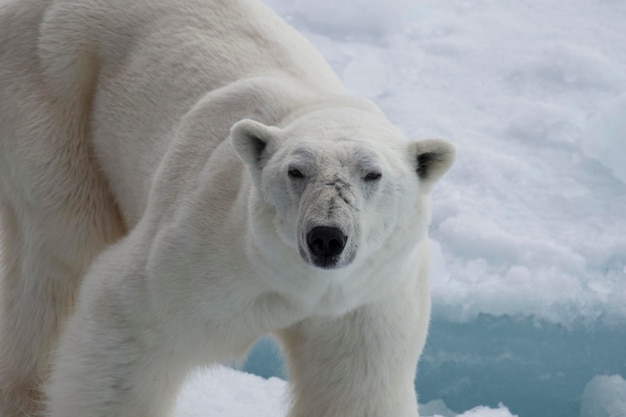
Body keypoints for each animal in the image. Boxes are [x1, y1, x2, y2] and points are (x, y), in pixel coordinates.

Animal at [0, 0, 450, 416]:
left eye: (372, 174)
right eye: (296, 171)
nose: (326, 237)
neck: (297, 286)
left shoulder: (368, 298)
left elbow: (355, 386)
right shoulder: (201, 248)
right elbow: (128, 325)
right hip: (54, 92)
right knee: (62, 254)